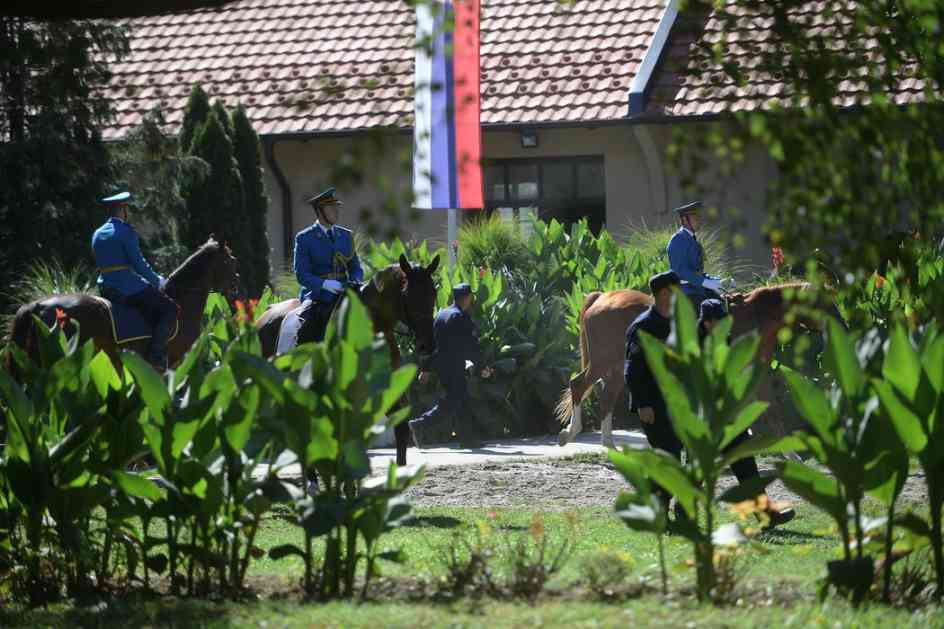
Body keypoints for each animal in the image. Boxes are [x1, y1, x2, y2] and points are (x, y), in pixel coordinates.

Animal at [556, 284, 836, 446]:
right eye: (824, 303)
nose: (838, 324)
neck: (754, 318)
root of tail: (603, 297)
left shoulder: (755, 375)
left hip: (616, 368)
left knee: (606, 398)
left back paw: (609, 445)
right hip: (605, 362)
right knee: (579, 384)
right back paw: (573, 432)